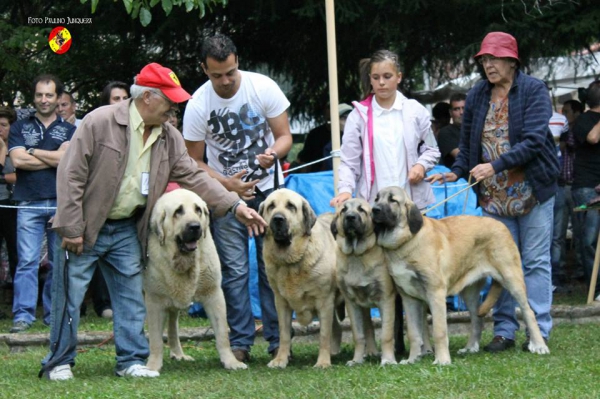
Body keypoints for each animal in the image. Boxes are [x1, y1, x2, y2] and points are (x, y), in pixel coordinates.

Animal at [144, 189, 247, 374]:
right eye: (178, 211)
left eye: (198, 209)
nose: (195, 227)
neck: (184, 261)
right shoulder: (154, 300)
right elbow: (155, 339)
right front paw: (153, 366)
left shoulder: (214, 294)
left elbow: (222, 334)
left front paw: (231, 362)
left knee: (173, 324)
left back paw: (178, 354)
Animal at [258, 189, 342, 370]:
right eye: (271, 206)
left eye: (291, 206)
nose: (278, 218)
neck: (290, 262)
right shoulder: (281, 302)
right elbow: (283, 333)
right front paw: (280, 360)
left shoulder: (325, 301)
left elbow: (323, 334)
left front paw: (322, 362)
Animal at [328, 200, 398, 368]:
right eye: (343, 210)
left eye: (362, 210)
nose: (350, 217)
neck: (356, 255)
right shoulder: (352, 303)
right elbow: (358, 335)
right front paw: (357, 360)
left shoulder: (386, 299)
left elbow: (386, 334)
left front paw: (388, 359)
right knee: (368, 327)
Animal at [372, 187, 552, 366]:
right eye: (376, 198)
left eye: (393, 200)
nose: (374, 210)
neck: (405, 242)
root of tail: (501, 224)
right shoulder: (409, 298)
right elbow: (414, 333)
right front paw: (412, 359)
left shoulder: (435, 293)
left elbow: (439, 331)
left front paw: (442, 360)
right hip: (469, 292)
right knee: (477, 319)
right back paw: (470, 347)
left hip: (512, 279)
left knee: (528, 312)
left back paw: (539, 345)